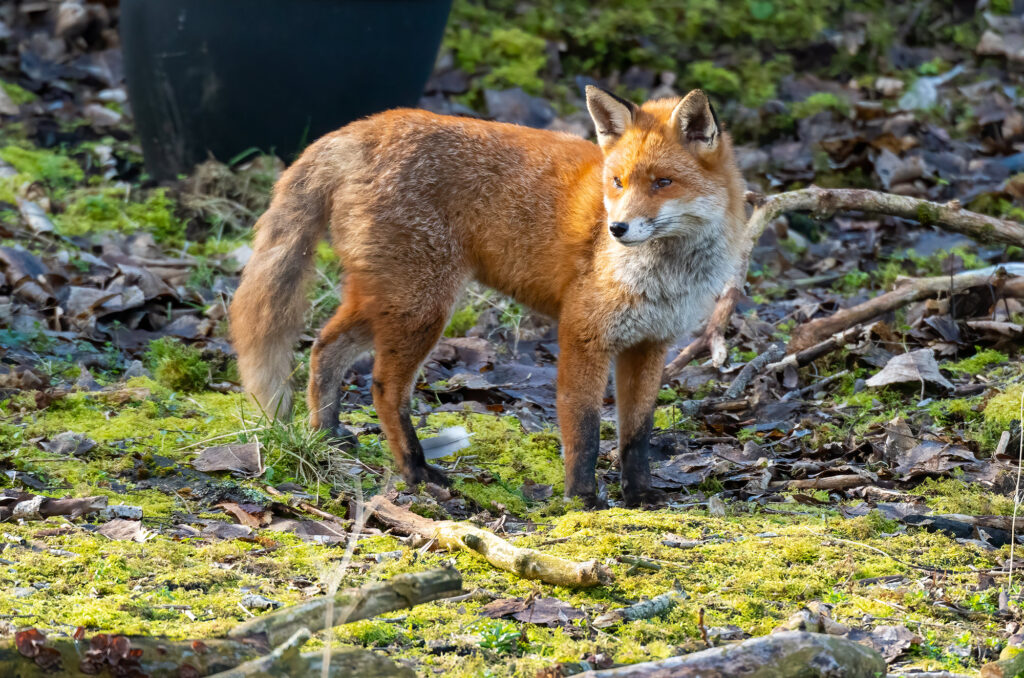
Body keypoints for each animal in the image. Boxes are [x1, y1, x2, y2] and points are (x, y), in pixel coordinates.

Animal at [232, 86, 745, 510]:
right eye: (616, 182)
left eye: (662, 183)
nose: (617, 228)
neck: (666, 275)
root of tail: (361, 127)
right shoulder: (584, 334)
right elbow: (584, 429)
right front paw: (582, 501)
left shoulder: (650, 343)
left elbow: (636, 433)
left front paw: (640, 497)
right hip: (423, 307)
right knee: (383, 388)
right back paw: (416, 471)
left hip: (389, 301)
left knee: (323, 347)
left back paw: (326, 435)